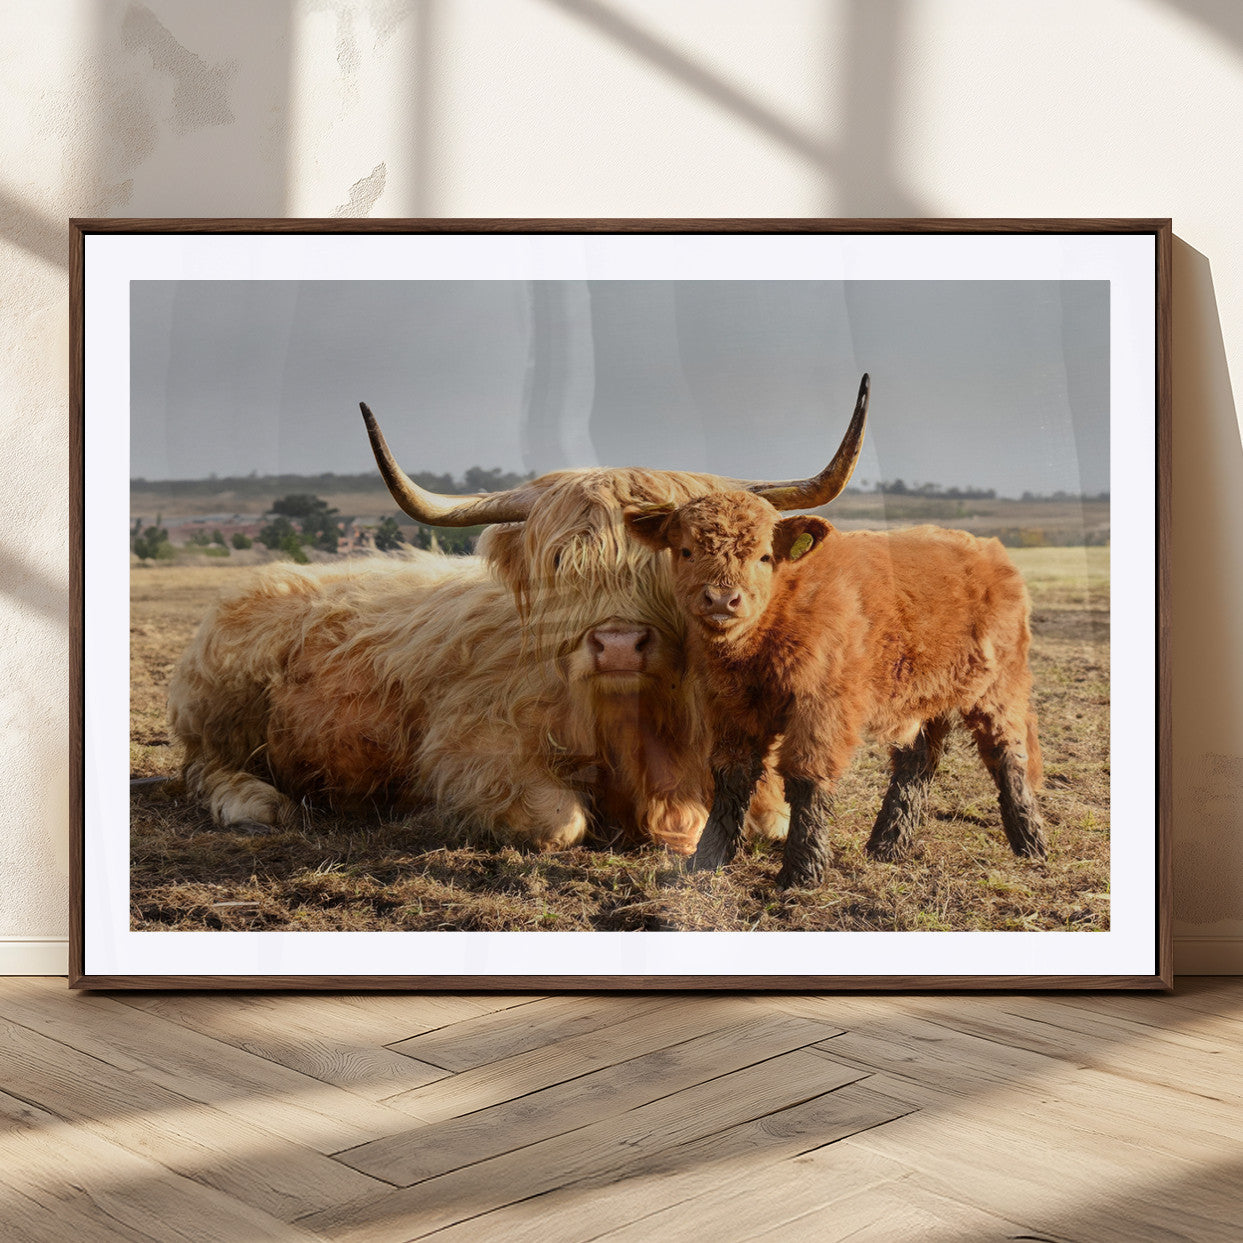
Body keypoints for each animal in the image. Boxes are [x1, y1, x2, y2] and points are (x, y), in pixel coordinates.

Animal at [166, 376, 872, 855]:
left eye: (676, 556)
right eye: (560, 561)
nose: (619, 645)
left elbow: (770, 817)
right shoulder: (468, 750)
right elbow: (560, 821)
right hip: (223, 708)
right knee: (203, 769)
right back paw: (254, 804)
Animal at [624, 485, 1046, 888]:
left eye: (764, 556)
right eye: (686, 550)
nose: (722, 599)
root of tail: (989, 549)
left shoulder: (822, 706)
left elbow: (806, 777)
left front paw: (802, 871)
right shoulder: (731, 706)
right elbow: (732, 775)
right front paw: (706, 861)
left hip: (999, 688)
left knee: (1007, 754)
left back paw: (1031, 843)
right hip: (922, 696)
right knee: (918, 761)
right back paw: (888, 845)